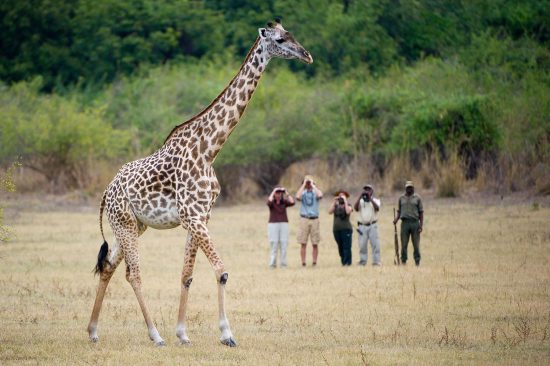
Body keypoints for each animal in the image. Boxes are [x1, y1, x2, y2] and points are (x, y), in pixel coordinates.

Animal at [85, 18, 310, 348]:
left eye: (291, 34)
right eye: (280, 40)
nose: (307, 55)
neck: (210, 149)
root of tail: (106, 191)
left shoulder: (201, 216)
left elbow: (187, 275)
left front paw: (183, 333)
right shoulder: (192, 216)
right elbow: (221, 271)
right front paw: (226, 334)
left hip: (131, 226)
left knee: (108, 266)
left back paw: (92, 331)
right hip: (125, 224)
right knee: (133, 273)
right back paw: (155, 335)